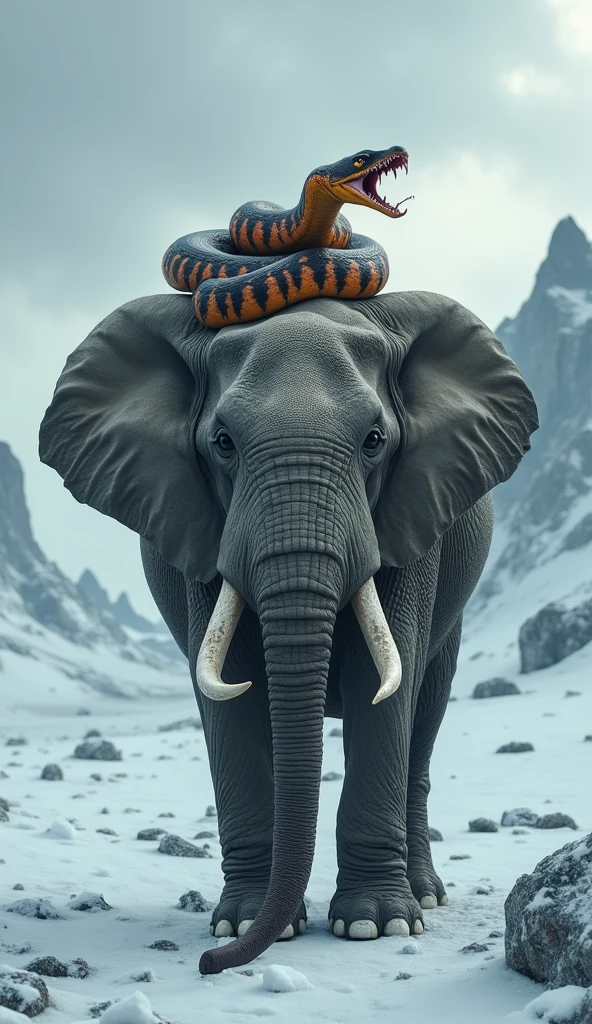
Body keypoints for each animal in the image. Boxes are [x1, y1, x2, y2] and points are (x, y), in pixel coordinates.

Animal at [36, 284, 532, 970]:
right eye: (222, 442)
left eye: (375, 439)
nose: (208, 965)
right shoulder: (201, 526)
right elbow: (232, 690)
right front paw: (241, 922)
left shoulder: (413, 513)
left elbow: (386, 684)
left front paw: (374, 926)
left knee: (425, 713)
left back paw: (426, 898)